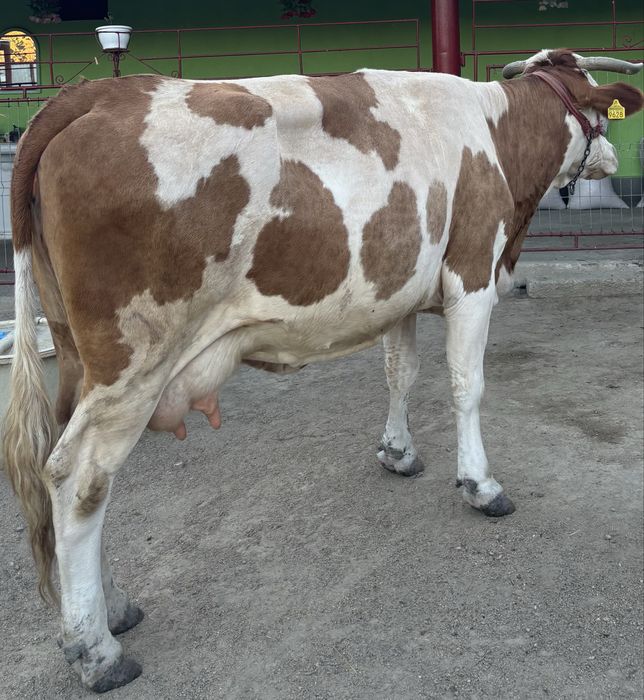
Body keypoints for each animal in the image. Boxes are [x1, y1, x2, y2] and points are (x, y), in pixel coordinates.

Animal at [2, 49, 642, 692]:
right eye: (600, 116)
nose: (613, 158)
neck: (494, 130)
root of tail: (96, 94)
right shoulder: (472, 274)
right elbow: (467, 385)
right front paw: (480, 485)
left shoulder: (399, 292)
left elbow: (400, 372)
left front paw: (397, 451)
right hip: (134, 364)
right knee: (78, 478)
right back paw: (95, 649)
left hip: (78, 357)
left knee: (70, 471)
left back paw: (113, 607)